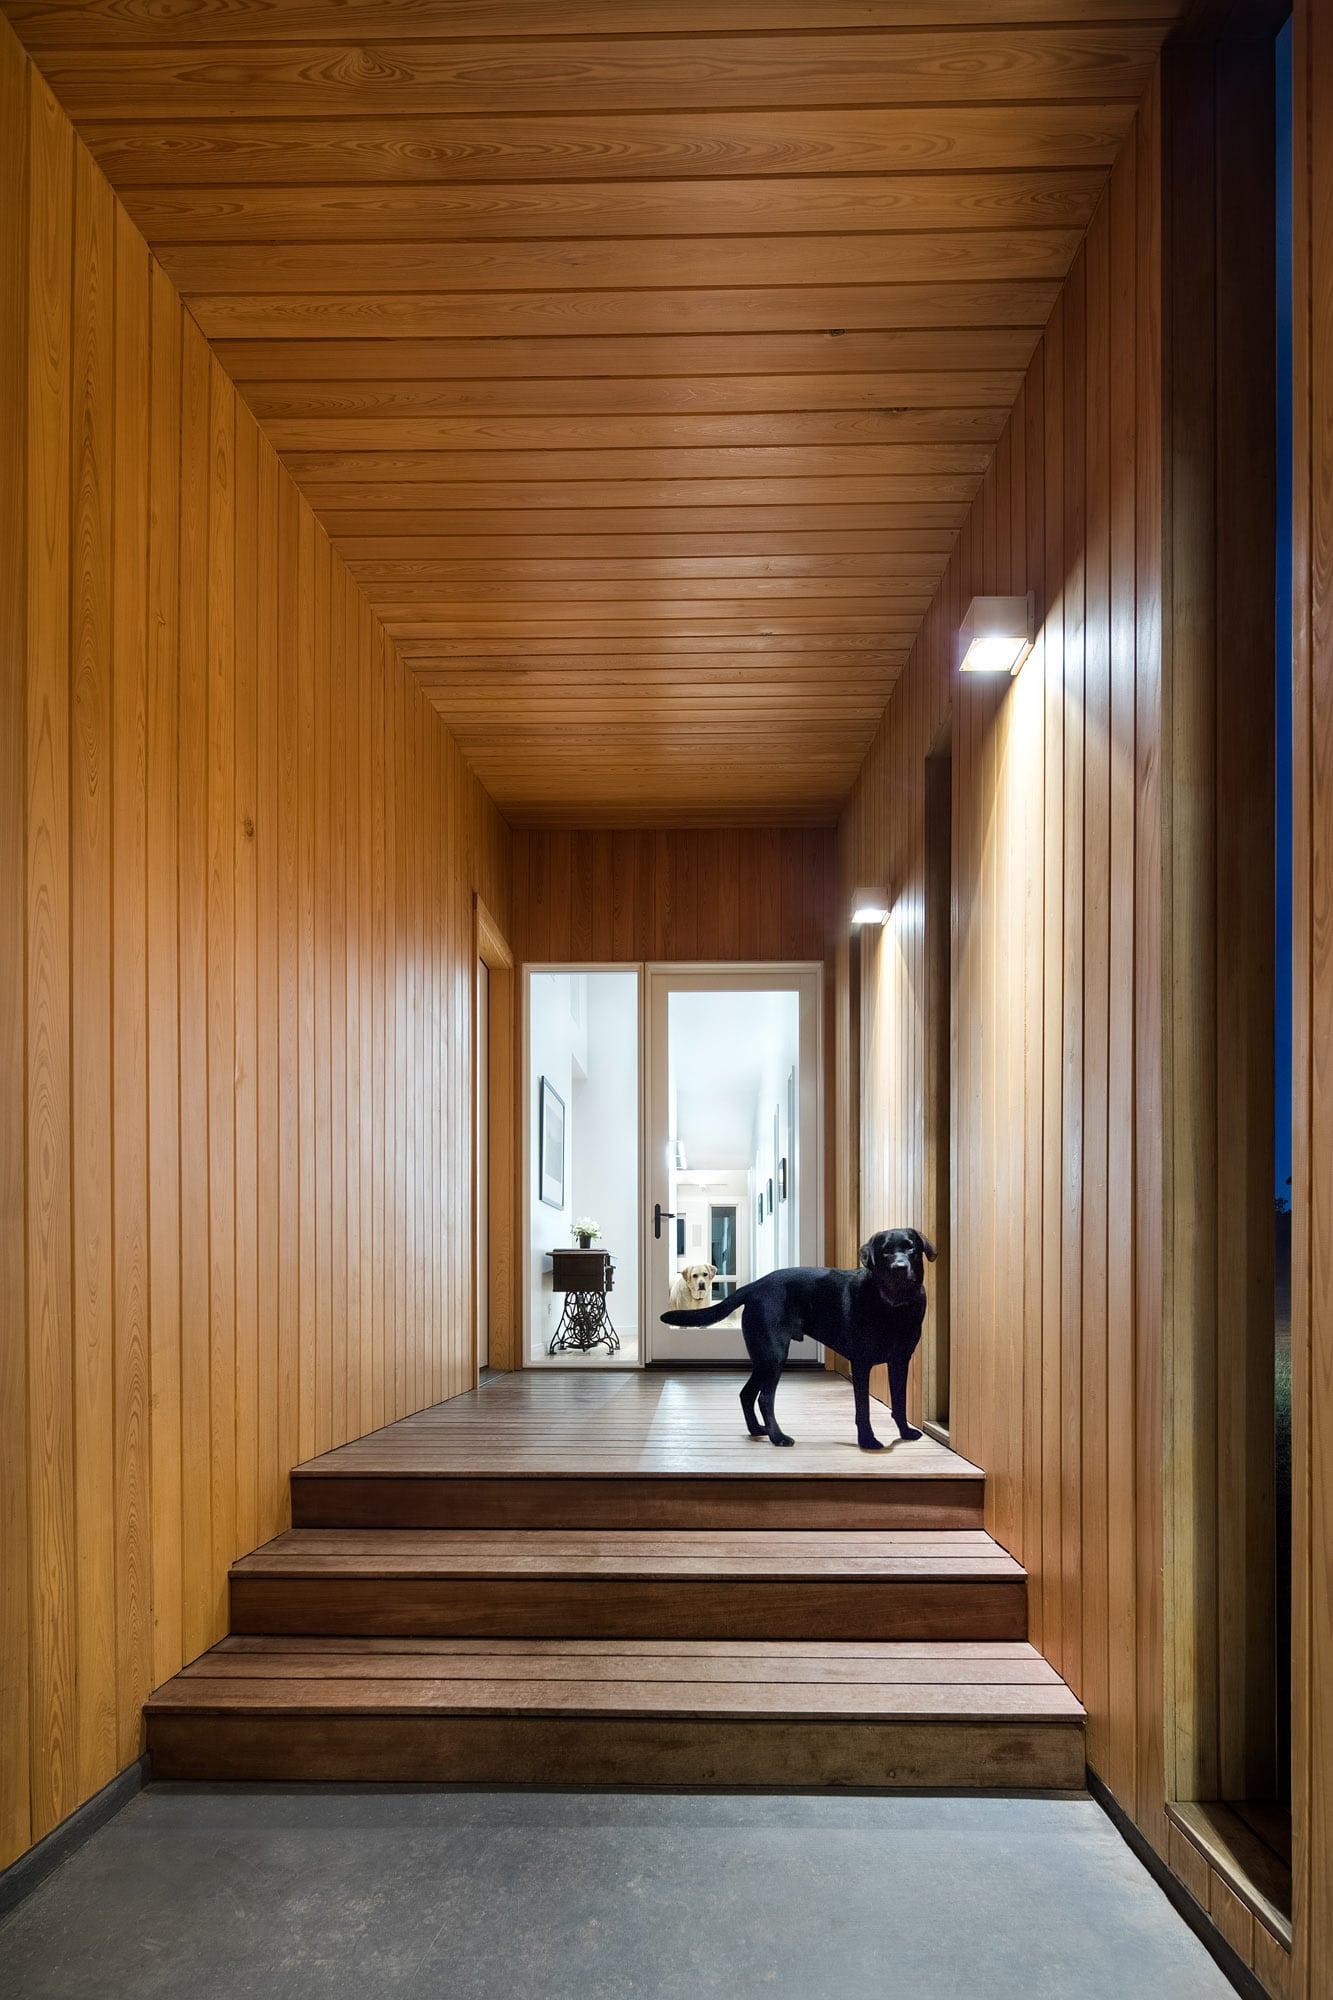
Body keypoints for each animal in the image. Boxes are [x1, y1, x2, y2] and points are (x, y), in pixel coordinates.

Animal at [656, 1216, 932, 1456]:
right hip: (774, 1354)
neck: (894, 1304)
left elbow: (899, 1402)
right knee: (765, 1398)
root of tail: (756, 1285)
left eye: (911, 1248)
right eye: (885, 1252)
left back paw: (757, 1430)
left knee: (747, 1394)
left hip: (764, 1358)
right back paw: (778, 1437)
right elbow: (863, 1408)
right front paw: (868, 1441)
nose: (899, 1267)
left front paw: (905, 1433)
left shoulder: (900, 1360)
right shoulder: (861, 1364)